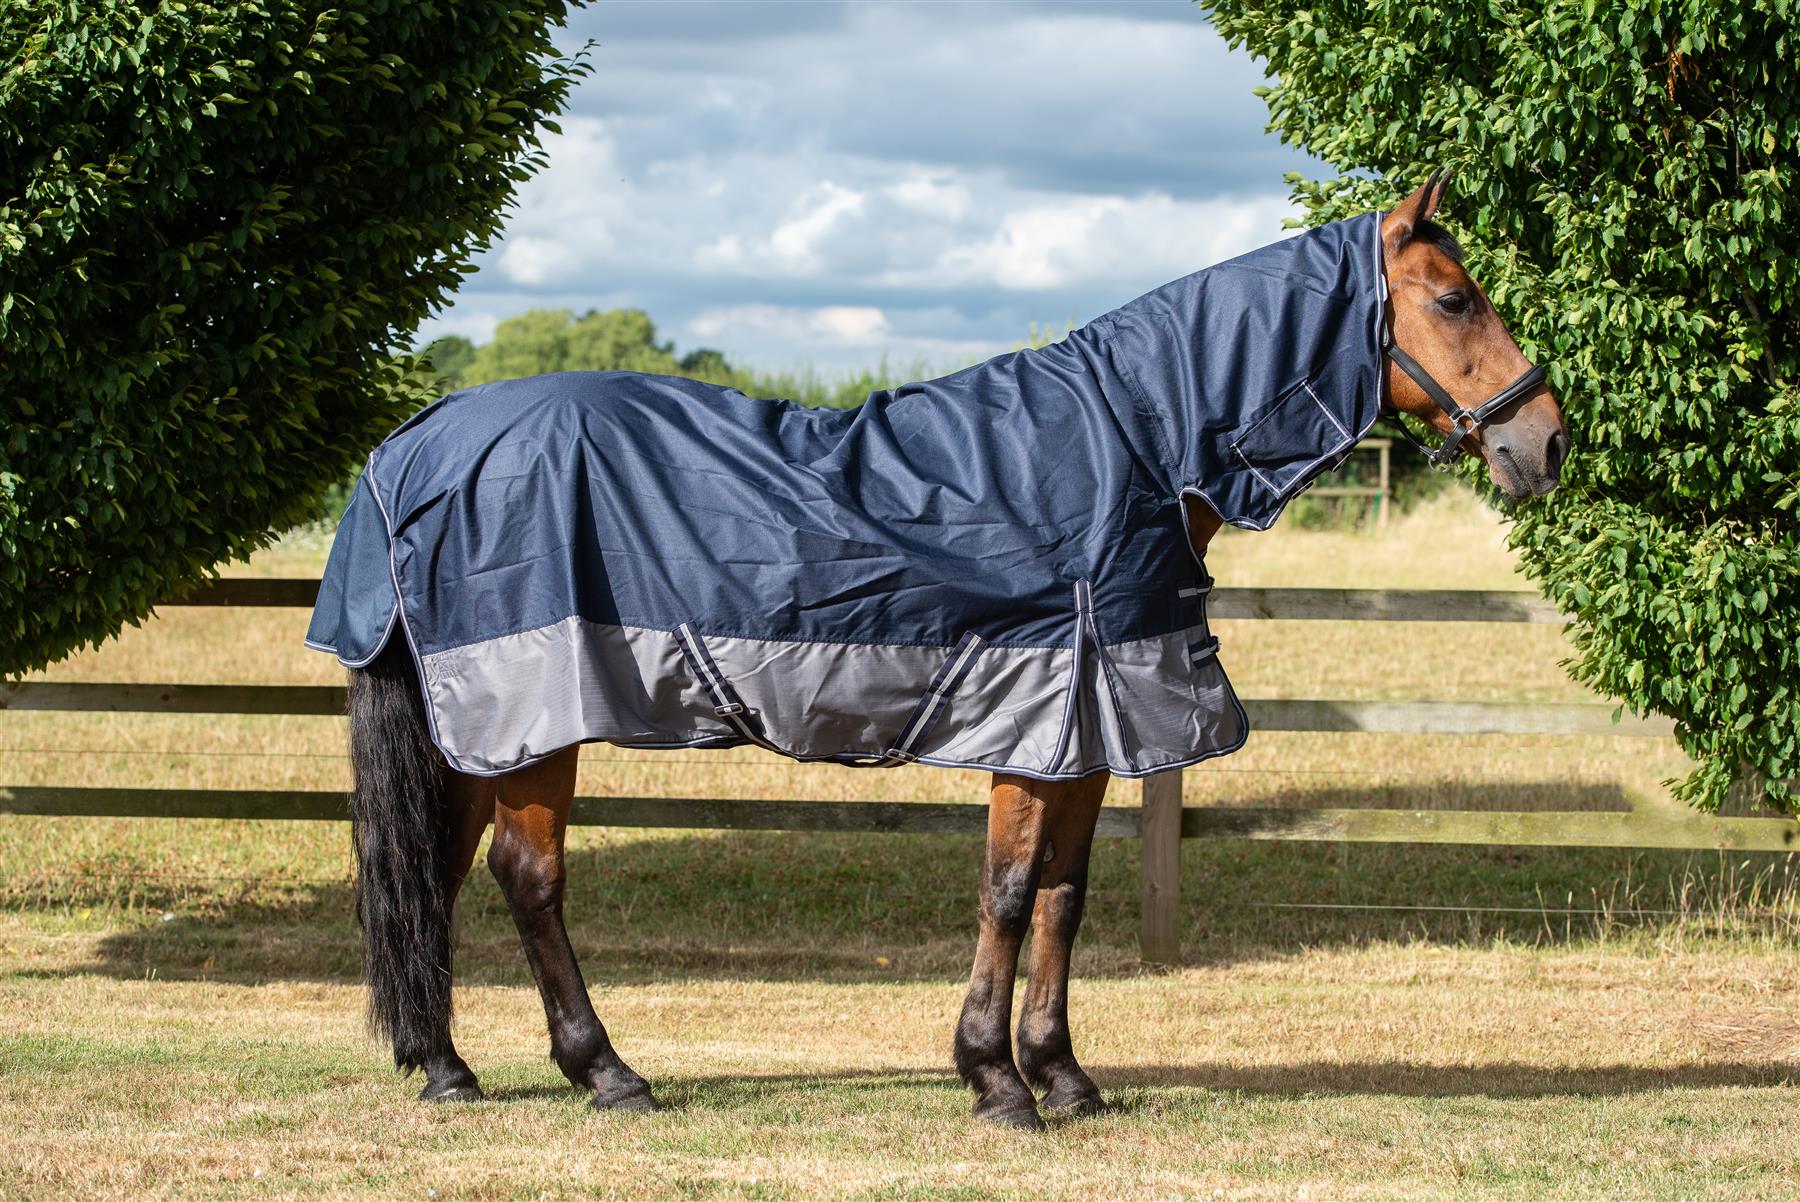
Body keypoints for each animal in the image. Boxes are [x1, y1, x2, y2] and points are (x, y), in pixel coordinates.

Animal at [318, 171, 1568, 1129]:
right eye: (1455, 296)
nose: (1544, 441)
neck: (1130, 448)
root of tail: (418, 439)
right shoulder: (1038, 718)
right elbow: (1008, 894)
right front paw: (995, 1081)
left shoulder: (1090, 730)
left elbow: (1064, 894)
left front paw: (1065, 1077)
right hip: (534, 722)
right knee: (527, 877)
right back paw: (607, 1071)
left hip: (480, 728)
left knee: (436, 867)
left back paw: (448, 1066)